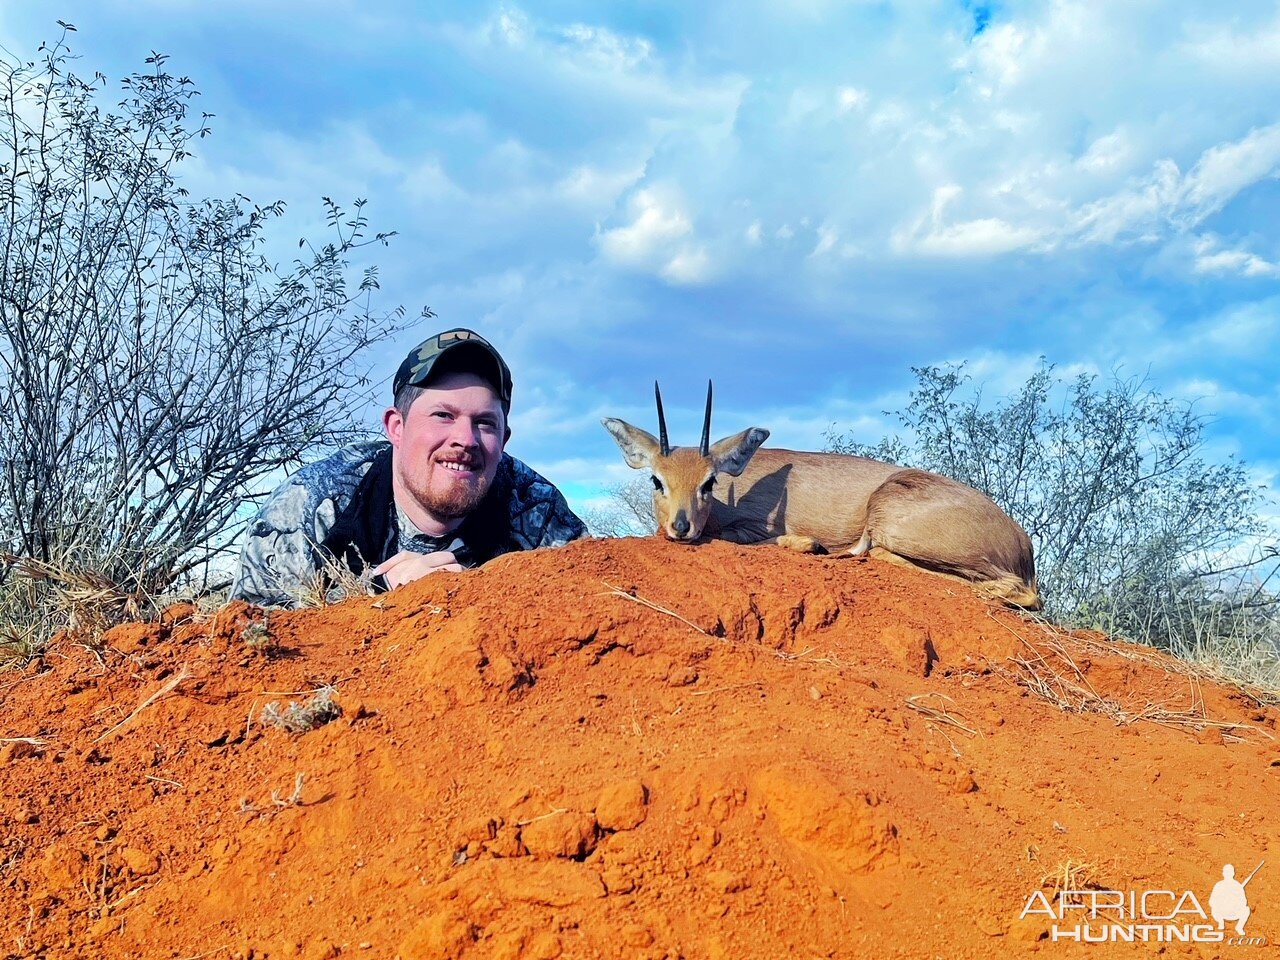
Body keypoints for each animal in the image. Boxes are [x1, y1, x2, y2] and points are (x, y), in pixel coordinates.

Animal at [599, 381, 1039, 609]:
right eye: (657, 480)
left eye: (709, 482)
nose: (681, 526)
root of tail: (1023, 543)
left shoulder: (753, 529)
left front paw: (808, 544)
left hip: (889, 523)